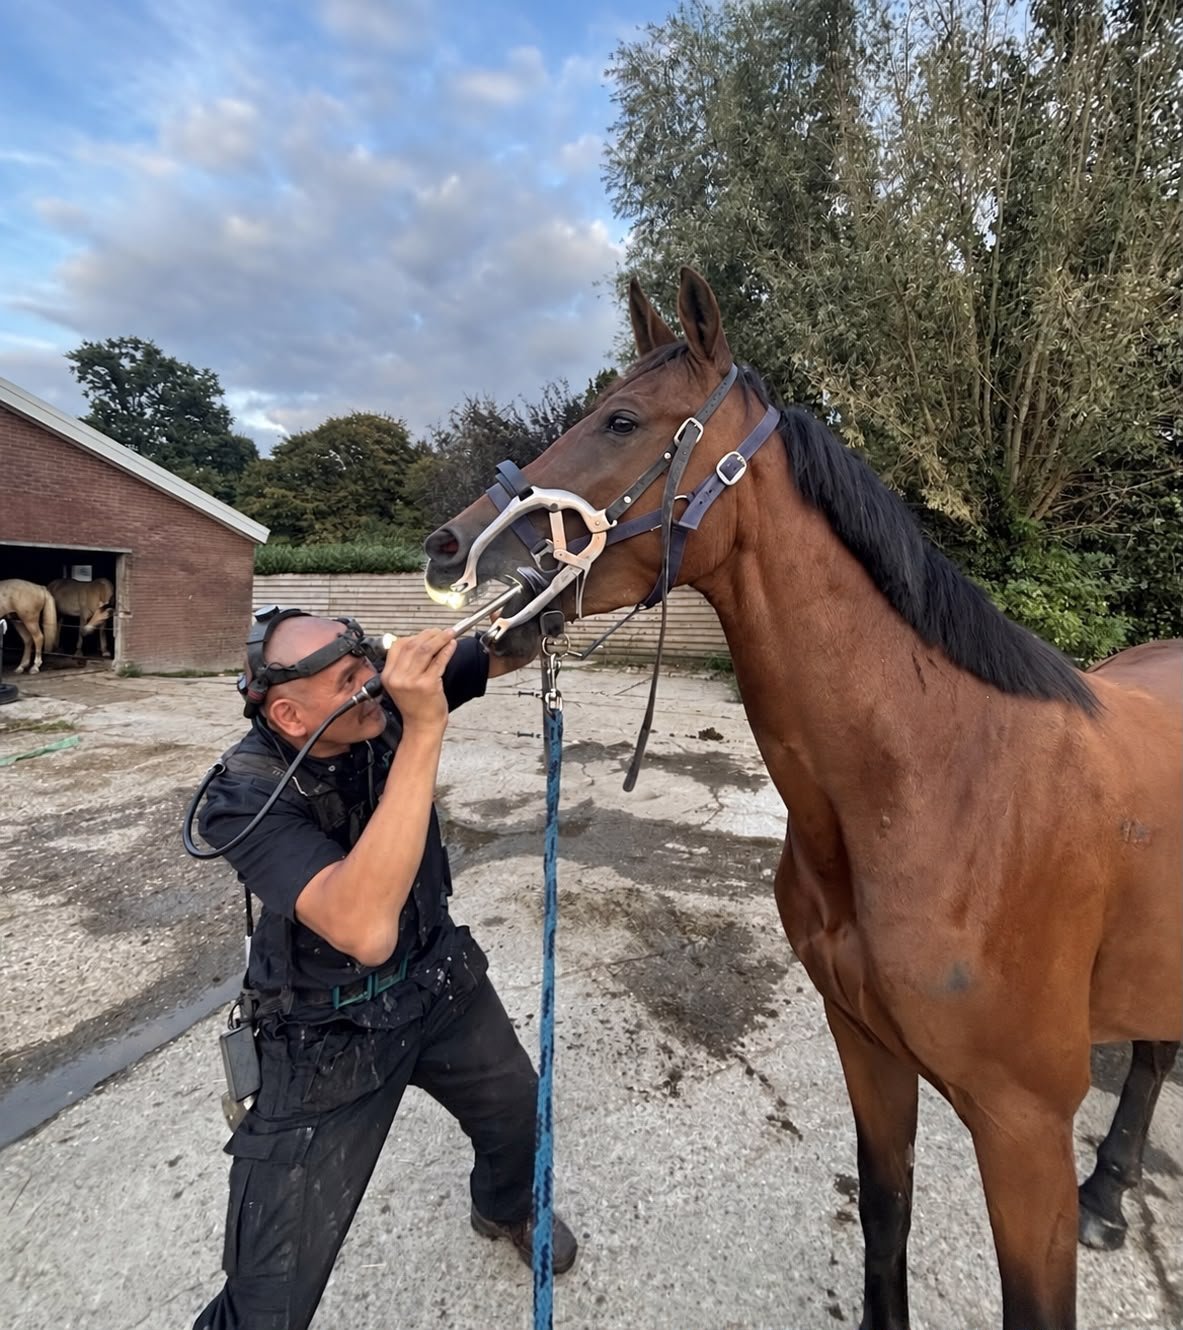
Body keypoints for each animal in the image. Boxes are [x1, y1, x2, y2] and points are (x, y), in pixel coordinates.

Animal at [423, 267, 1182, 1330]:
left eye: (620, 420)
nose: (446, 549)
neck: (940, 788)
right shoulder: (864, 1046)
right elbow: (884, 1213)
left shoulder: (1023, 1126)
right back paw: (1110, 1191)